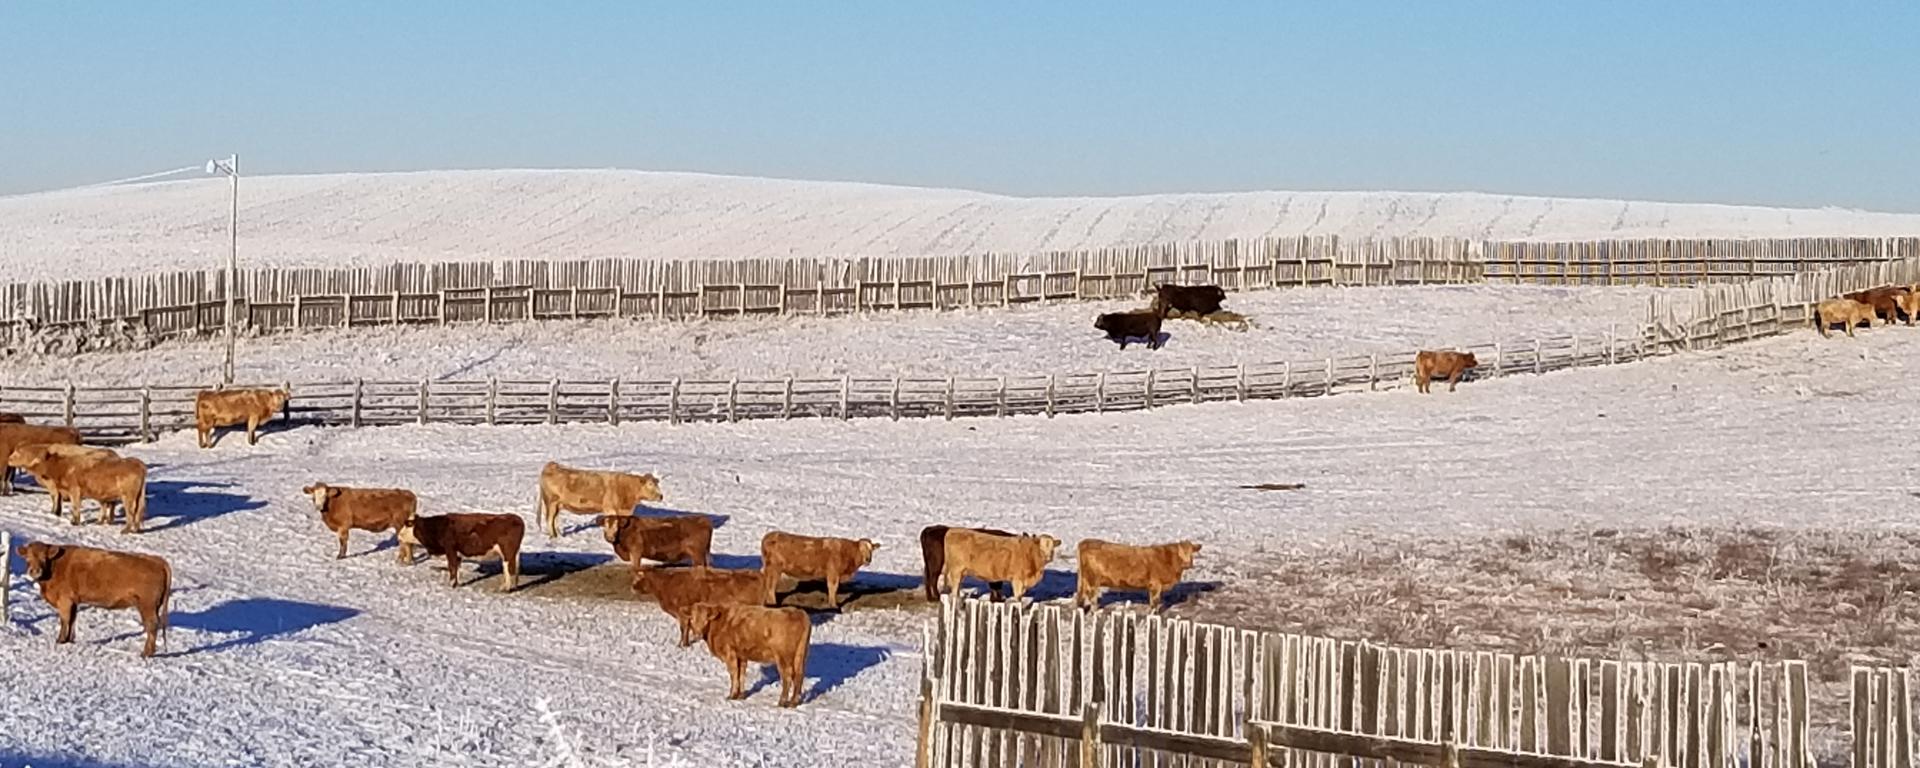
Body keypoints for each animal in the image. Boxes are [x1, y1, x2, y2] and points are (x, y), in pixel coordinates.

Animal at [15, 541, 172, 660]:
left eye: (44, 557)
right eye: (27, 557)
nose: (34, 571)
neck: (55, 567)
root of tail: (155, 559)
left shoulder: (65, 600)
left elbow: (65, 620)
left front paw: (60, 640)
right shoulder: (74, 601)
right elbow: (72, 619)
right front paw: (69, 640)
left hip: (147, 606)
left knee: (152, 626)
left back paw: (146, 653)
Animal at [395, 514, 526, 591]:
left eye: (407, 524)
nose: (398, 535)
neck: (439, 527)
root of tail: (516, 518)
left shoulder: (450, 550)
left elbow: (452, 567)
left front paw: (451, 584)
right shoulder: (457, 554)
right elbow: (456, 567)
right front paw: (456, 583)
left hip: (508, 553)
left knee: (509, 569)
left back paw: (505, 588)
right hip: (513, 554)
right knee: (513, 569)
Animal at [533, 462, 668, 541]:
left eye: (657, 484)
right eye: (650, 484)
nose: (661, 496)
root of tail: (552, 465)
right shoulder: (610, 509)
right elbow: (612, 524)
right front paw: (610, 537)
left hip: (558, 504)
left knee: (554, 519)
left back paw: (559, 535)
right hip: (551, 502)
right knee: (550, 519)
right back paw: (554, 537)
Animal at [1075, 541, 1205, 610]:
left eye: (1191, 553)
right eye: (1180, 553)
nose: (1187, 564)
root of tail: (1086, 542)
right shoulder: (1155, 585)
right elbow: (1154, 603)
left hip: (1085, 580)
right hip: (1093, 582)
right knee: (1092, 598)